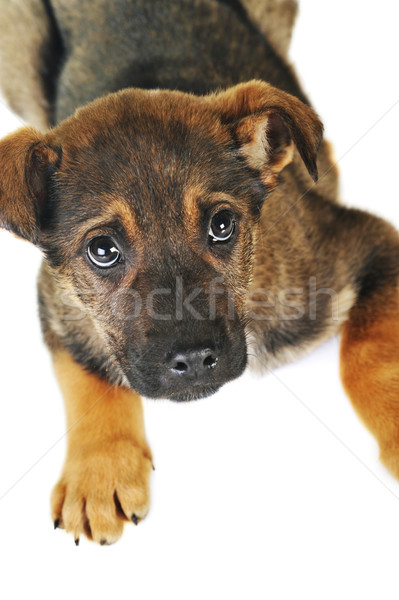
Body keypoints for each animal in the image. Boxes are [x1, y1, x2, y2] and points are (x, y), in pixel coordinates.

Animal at [0, 0, 399, 548]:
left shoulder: (367, 241)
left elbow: (367, 354)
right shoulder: (57, 302)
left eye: (222, 225)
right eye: (102, 250)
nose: (193, 360)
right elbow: (86, 378)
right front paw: (98, 474)